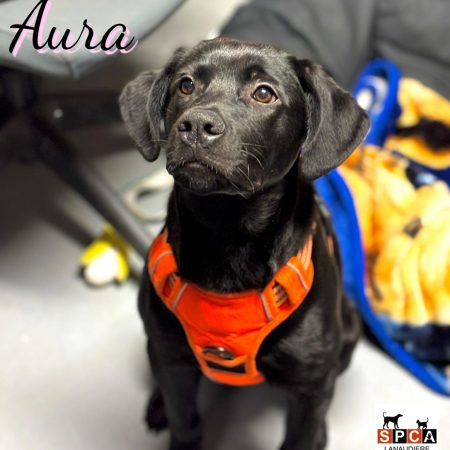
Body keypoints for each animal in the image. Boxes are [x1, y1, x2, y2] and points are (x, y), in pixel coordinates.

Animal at [120, 37, 369, 450]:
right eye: (185, 85)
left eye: (264, 93)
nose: (197, 126)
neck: (228, 237)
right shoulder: (168, 355)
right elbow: (184, 420)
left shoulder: (311, 382)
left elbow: (302, 434)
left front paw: (313, 433)